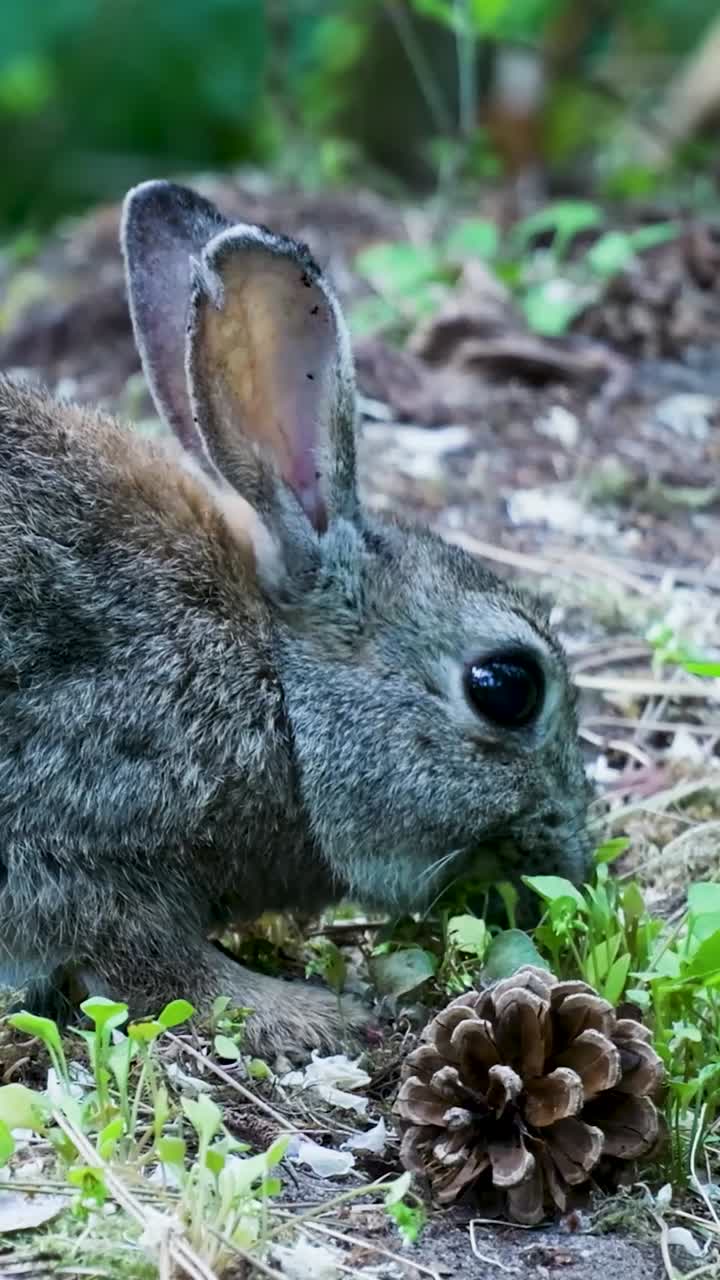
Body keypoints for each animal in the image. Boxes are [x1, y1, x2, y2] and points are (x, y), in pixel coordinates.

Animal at [0, 180, 591, 1057]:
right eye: (506, 686)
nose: (575, 863)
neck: (275, 693)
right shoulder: (81, 832)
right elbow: (157, 967)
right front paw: (307, 1013)